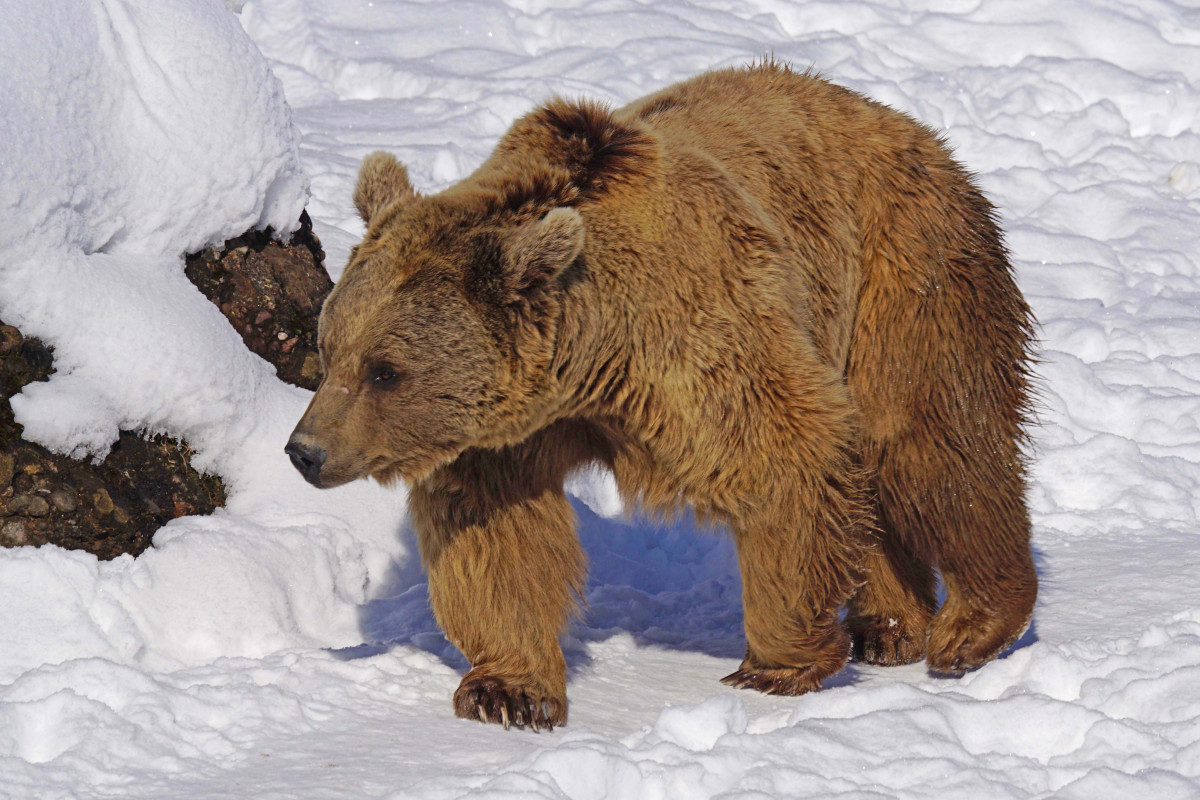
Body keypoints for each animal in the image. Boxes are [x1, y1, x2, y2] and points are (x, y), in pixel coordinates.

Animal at [285, 61, 1036, 734]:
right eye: (330, 347)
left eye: (385, 370)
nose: (304, 451)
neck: (588, 358)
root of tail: (900, 122)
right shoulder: (508, 430)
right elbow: (496, 534)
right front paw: (508, 692)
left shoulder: (696, 339)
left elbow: (786, 457)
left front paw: (774, 665)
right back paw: (888, 625)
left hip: (900, 273)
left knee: (930, 443)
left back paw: (973, 626)